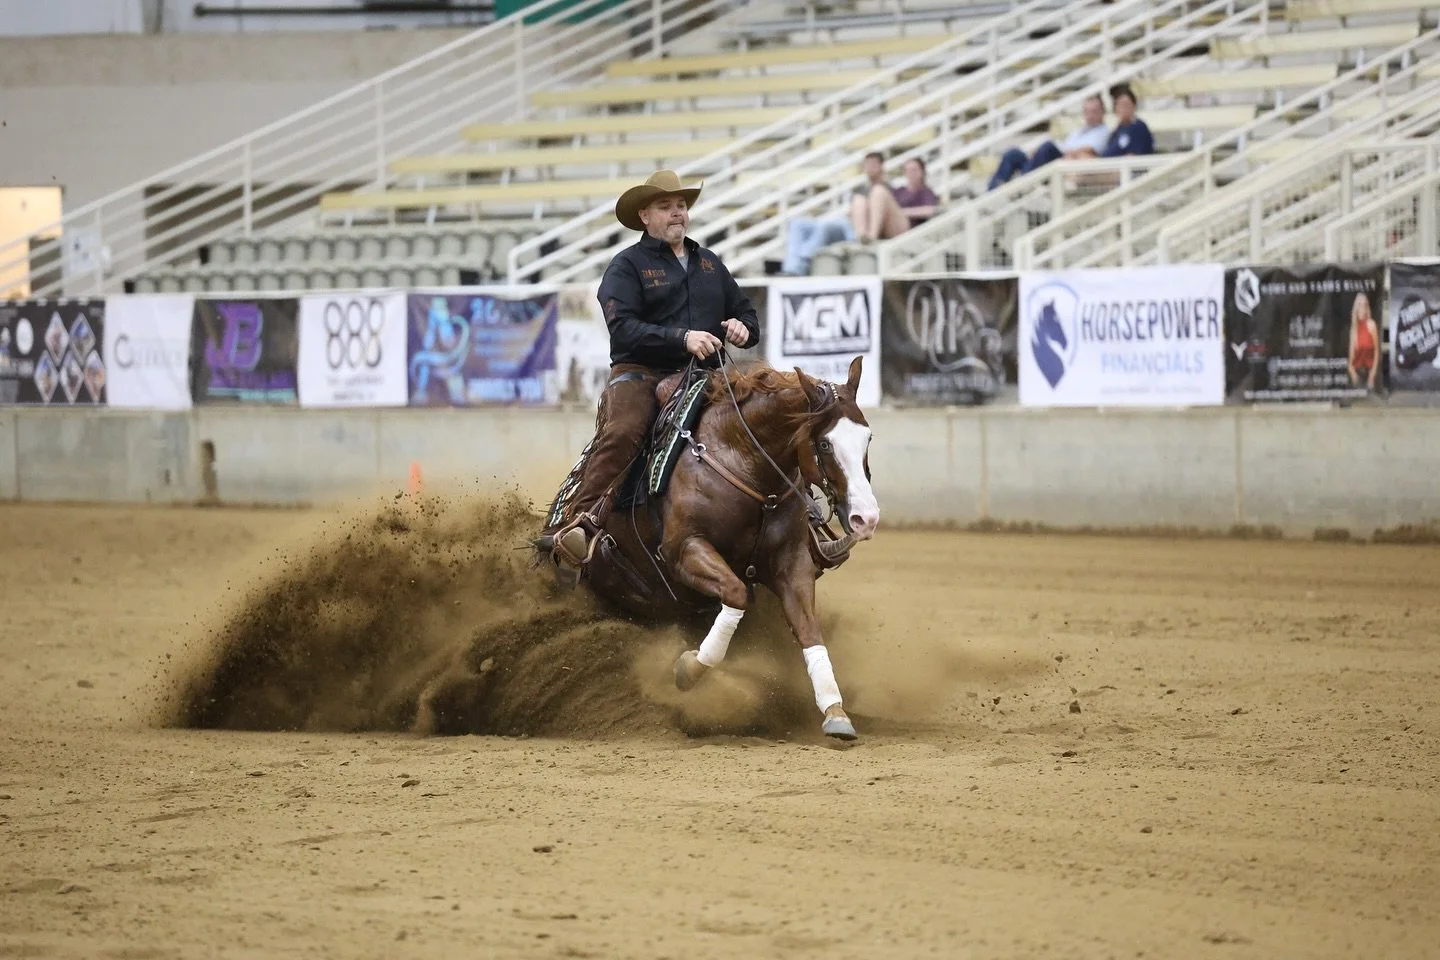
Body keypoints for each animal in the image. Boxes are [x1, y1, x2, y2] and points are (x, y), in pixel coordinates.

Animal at [536, 354, 880, 741]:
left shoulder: (791, 563)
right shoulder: (684, 550)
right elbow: (737, 593)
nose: (867, 518)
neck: (740, 460)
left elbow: (808, 628)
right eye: (824, 444)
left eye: (867, 437)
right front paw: (688, 668)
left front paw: (835, 711)